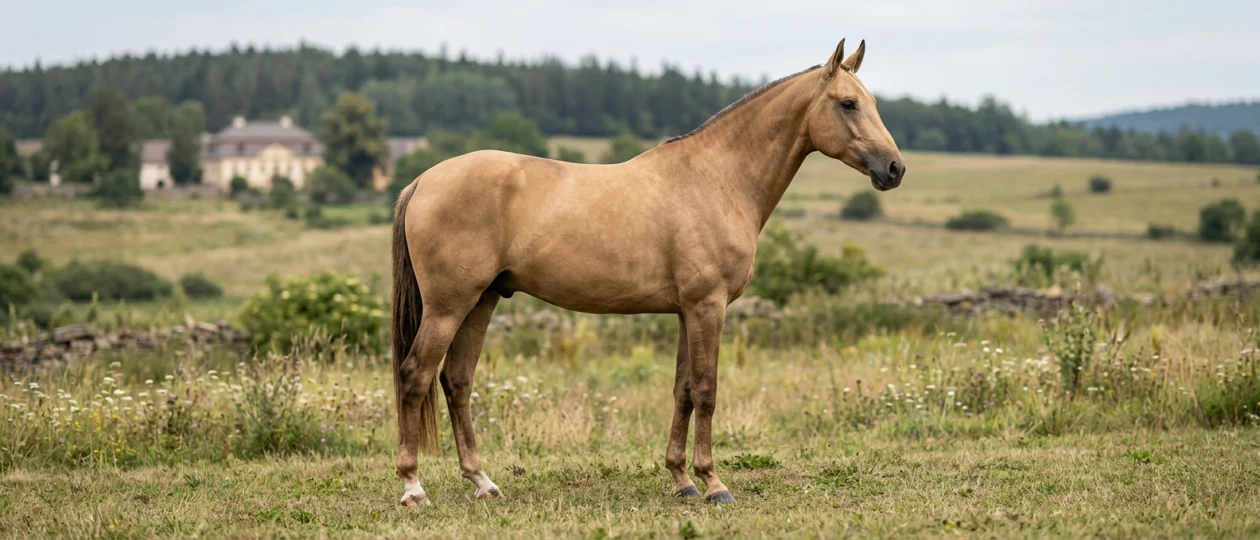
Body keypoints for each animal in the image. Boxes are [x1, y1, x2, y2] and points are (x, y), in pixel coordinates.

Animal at [391, 38, 905, 506]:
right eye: (848, 103)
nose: (894, 169)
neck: (717, 178)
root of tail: (422, 181)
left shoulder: (685, 311)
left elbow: (683, 390)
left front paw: (682, 480)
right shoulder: (708, 306)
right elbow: (706, 390)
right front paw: (713, 483)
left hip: (481, 301)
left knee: (457, 381)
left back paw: (483, 482)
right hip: (448, 306)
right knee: (415, 375)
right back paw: (413, 487)